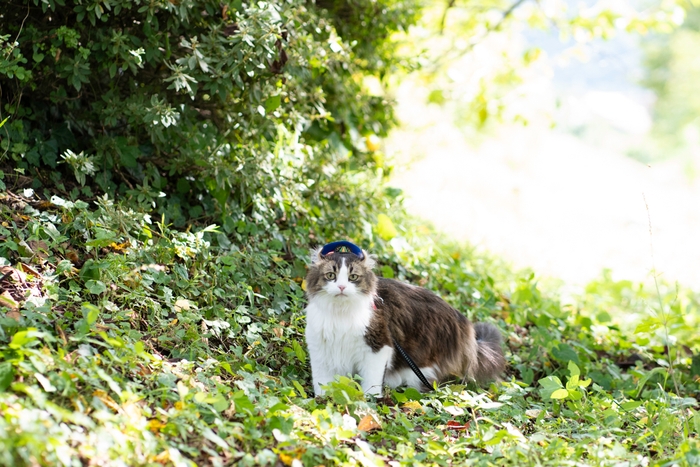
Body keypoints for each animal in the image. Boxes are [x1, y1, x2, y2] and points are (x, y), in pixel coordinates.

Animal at [304, 243, 506, 396]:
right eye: (331, 275)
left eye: (353, 277)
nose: (341, 287)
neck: (340, 314)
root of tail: (462, 321)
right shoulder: (320, 350)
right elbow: (322, 382)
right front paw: (323, 399)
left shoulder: (378, 347)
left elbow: (370, 383)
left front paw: (368, 403)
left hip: (419, 370)